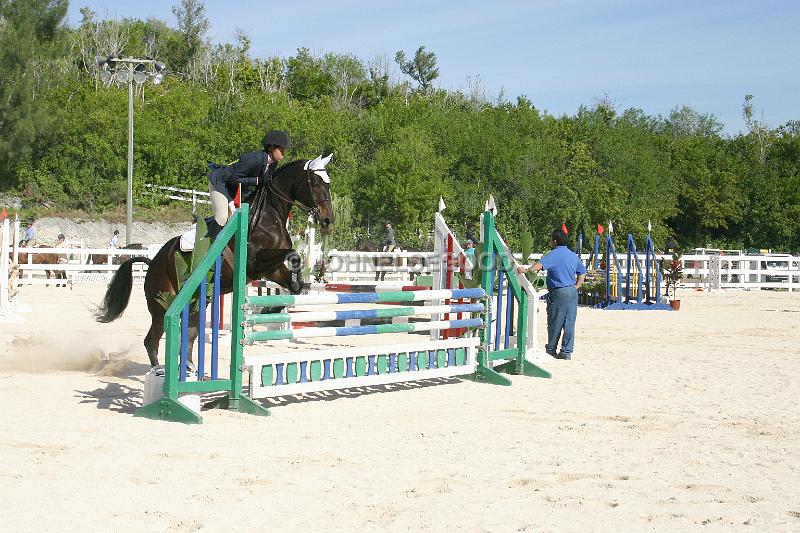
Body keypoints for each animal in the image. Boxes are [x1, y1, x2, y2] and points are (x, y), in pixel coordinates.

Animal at [94, 158, 334, 366]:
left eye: (328, 183)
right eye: (315, 183)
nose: (327, 220)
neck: (269, 216)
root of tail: (152, 262)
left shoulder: (271, 271)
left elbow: (295, 285)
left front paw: (268, 310)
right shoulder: (254, 262)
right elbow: (292, 253)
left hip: (196, 301)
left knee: (189, 333)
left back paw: (190, 369)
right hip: (162, 304)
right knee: (151, 340)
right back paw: (159, 372)